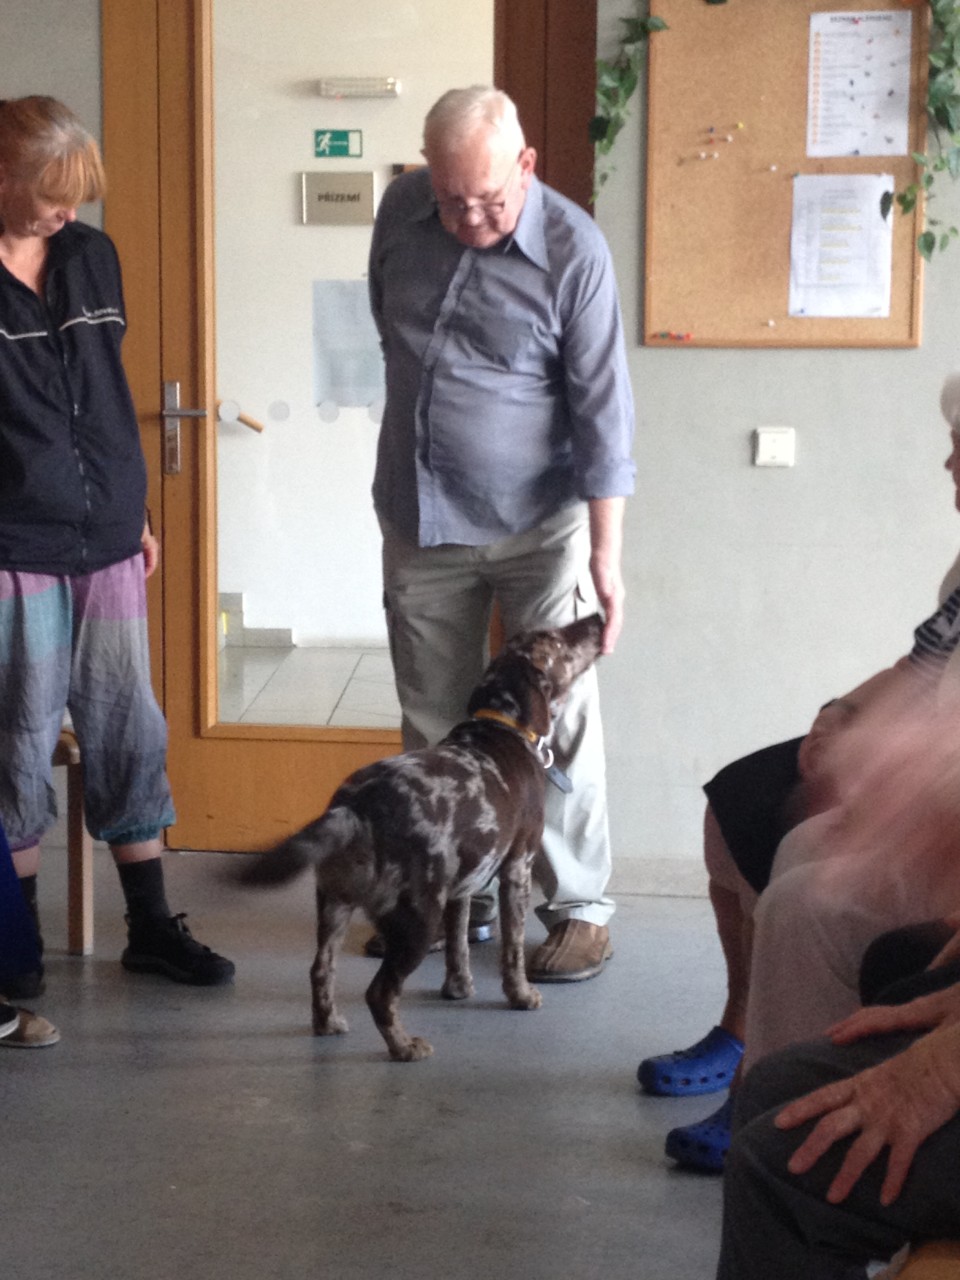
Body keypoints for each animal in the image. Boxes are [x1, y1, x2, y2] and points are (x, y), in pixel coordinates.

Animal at [237, 613, 604, 1062]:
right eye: (556, 639)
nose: (597, 617)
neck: (502, 725)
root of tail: (356, 809)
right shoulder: (517, 867)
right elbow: (513, 947)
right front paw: (521, 995)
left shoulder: (463, 885)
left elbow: (459, 946)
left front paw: (459, 988)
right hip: (417, 919)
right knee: (379, 993)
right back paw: (405, 1046)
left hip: (335, 903)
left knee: (321, 969)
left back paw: (329, 1024)